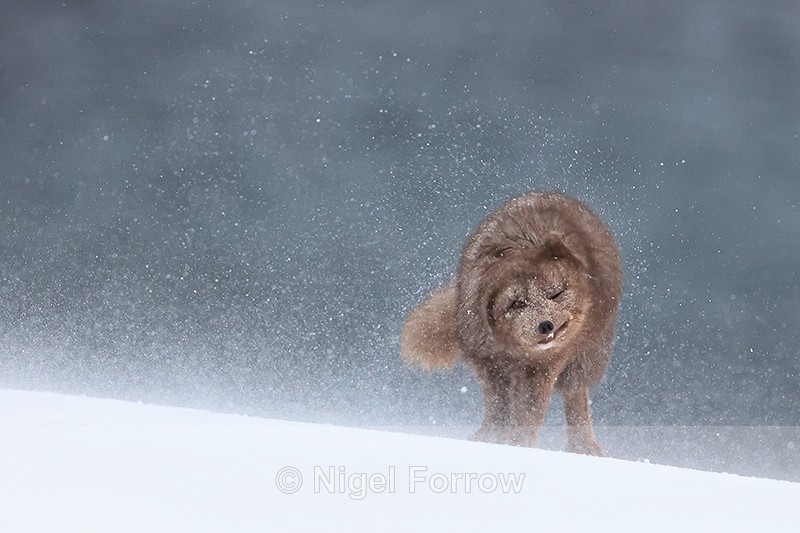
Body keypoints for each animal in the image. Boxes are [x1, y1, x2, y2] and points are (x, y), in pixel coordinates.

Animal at [401, 192, 622, 455]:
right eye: (518, 303)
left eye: (556, 294)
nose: (545, 325)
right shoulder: (489, 361)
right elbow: (499, 408)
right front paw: (493, 439)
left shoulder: (542, 369)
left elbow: (527, 413)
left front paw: (518, 444)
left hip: (584, 360)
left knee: (575, 396)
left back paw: (583, 447)